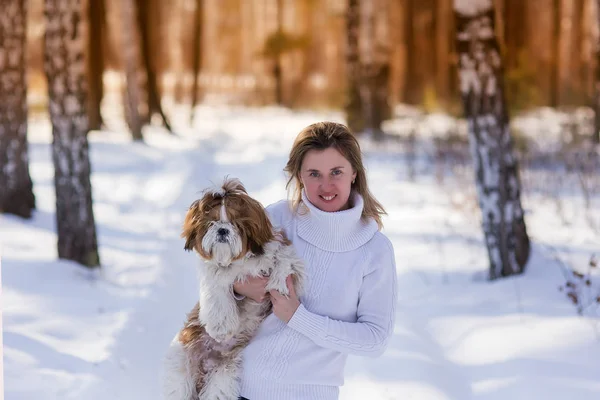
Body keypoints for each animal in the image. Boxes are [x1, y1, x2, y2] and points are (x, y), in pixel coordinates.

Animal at [162, 178, 304, 400]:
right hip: (181, 365)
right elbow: (217, 288)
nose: (222, 230)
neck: (238, 261)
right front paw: (220, 327)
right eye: (211, 222)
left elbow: (284, 259)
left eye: (236, 222)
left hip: (223, 376)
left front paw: (279, 282)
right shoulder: (213, 274)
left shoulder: (283, 250)